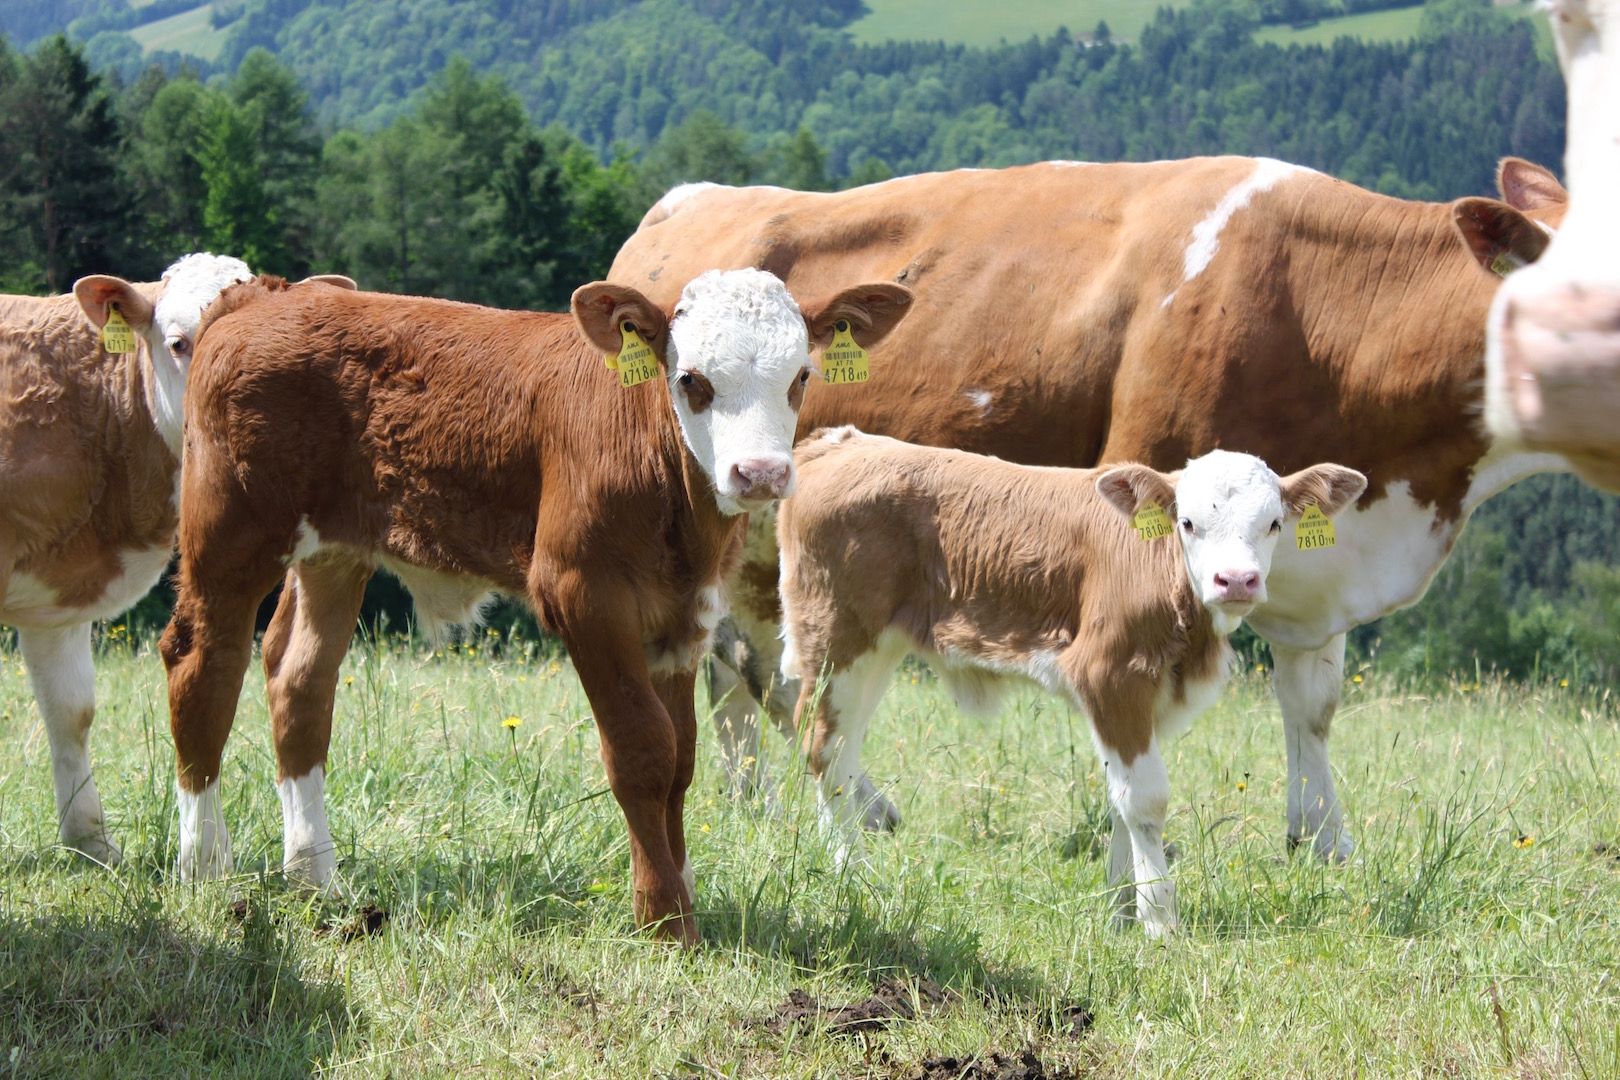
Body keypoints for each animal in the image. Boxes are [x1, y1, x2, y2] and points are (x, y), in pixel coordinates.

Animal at [159, 268, 912, 943]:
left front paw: (680, 889)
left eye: (801, 377)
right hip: (232, 529)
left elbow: (681, 760)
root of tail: (267, 296)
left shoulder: (681, 614)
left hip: (335, 549)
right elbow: (643, 752)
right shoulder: (583, 593)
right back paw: (205, 865)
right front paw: (665, 918)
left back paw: (314, 875)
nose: (759, 474)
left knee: (300, 677)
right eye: (692, 380)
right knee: (202, 663)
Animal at [609, 154, 1573, 862]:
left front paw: (1321, 844)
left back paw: (759, 805)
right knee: (764, 674)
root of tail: (688, 203)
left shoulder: (1312, 560)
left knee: (743, 667)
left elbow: (1312, 704)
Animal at [779, 430, 1365, 935]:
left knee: (843, 749)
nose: (1238, 581)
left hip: (877, 648)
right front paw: (1160, 919)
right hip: (837, 636)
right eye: (1188, 523)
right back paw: (851, 872)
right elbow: (1146, 800)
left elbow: (1120, 799)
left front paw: (1121, 912)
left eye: (1274, 524)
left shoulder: (1143, 701)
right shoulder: (1110, 674)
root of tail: (841, 442)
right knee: (823, 747)